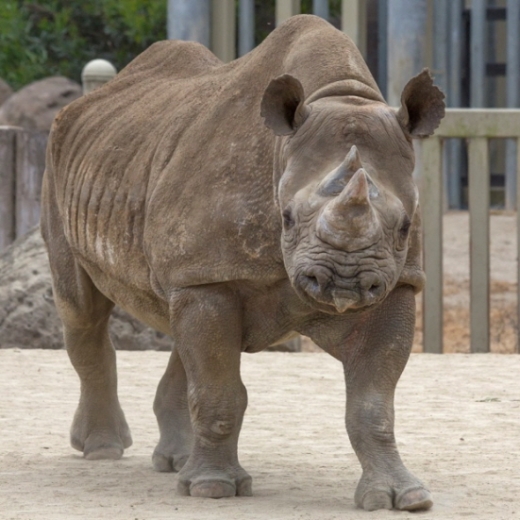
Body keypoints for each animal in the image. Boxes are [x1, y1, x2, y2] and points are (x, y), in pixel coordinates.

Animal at [41, 15, 444, 511]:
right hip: (57, 167)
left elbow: (373, 403)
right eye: (285, 217)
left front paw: (403, 497)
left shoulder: (396, 282)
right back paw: (103, 451)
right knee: (83, 310)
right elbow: (219, 390)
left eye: (405, 226)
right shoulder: (209, 275)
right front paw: (212, 489)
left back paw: (175, 461)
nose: (344, 281)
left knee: (176, 320)